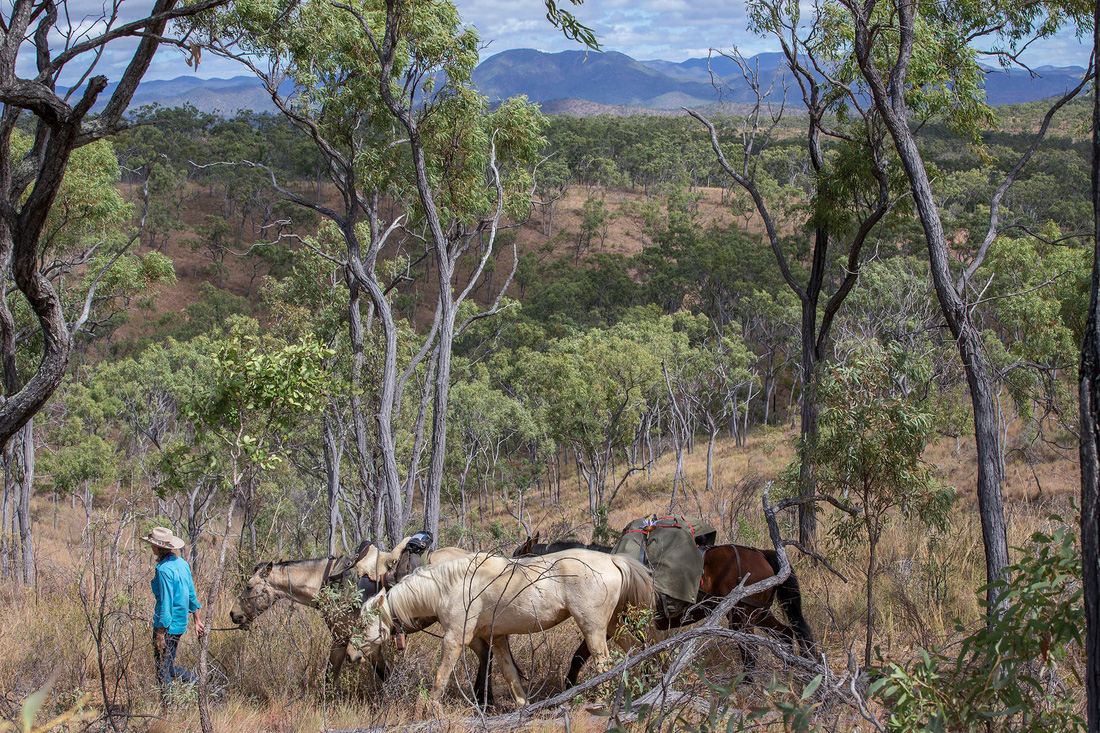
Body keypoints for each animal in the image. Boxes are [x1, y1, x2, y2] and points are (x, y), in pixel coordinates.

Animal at [347, 548, 646, 704]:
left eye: (363, 625)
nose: (350, 655)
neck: (449, 587)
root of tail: (612, 559)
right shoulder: (498, 638)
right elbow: (510, 674)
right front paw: (523, 707)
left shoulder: (455, 640)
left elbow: (440, 678)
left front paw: (429, 710)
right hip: (613, 626)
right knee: (635, 649)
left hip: (593, 629)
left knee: (604, 664)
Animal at [572, 539, 814, 682]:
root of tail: (761, 555)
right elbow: (580, 656)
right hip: (758, 613)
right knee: (785, 634)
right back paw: (789, 674)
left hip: (741, 617)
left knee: (751, 651)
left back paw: (746, 686)